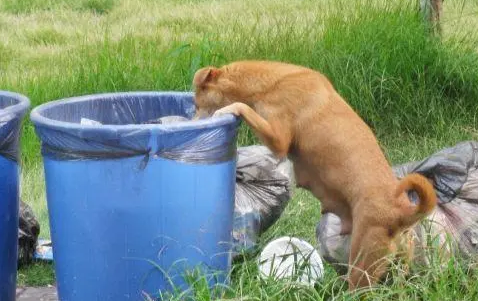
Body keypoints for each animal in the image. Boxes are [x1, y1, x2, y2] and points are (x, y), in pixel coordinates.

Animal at [191, 60, 436, 288]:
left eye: (196, 104)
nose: (192, 124)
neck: (270, 83)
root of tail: (402, 211)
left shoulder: (279, 140)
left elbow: (242, 106)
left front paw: (229, 109)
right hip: (398, 265)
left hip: (363, 262)